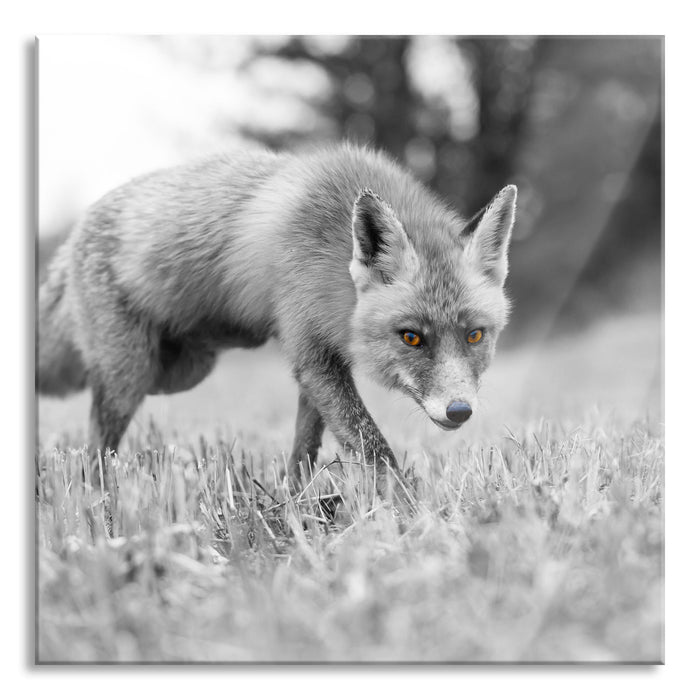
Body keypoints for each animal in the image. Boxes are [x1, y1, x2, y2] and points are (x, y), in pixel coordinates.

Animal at [37, 143, 517, 494]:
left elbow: (306, 447)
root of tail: (74, 233)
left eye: (475, 335)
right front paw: (405, 511)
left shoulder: (318, 362)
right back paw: (99, 499)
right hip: (132, 376)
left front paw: (295, 502)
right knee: (95, 446)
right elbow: (372, 446)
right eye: (412, 337)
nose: (459, 411)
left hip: (179, 369)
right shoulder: (310, 350)